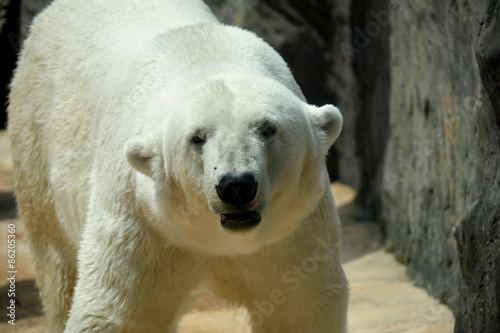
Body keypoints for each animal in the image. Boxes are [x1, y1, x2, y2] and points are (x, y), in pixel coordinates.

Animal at [9, 0, 350, 332]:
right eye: (196, 138)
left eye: (268, 129)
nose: (236, 186)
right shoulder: (142, 223)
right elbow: (117, 314)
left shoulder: (291, 233)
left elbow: (298, 310)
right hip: (36, 137)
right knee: (57, 265)